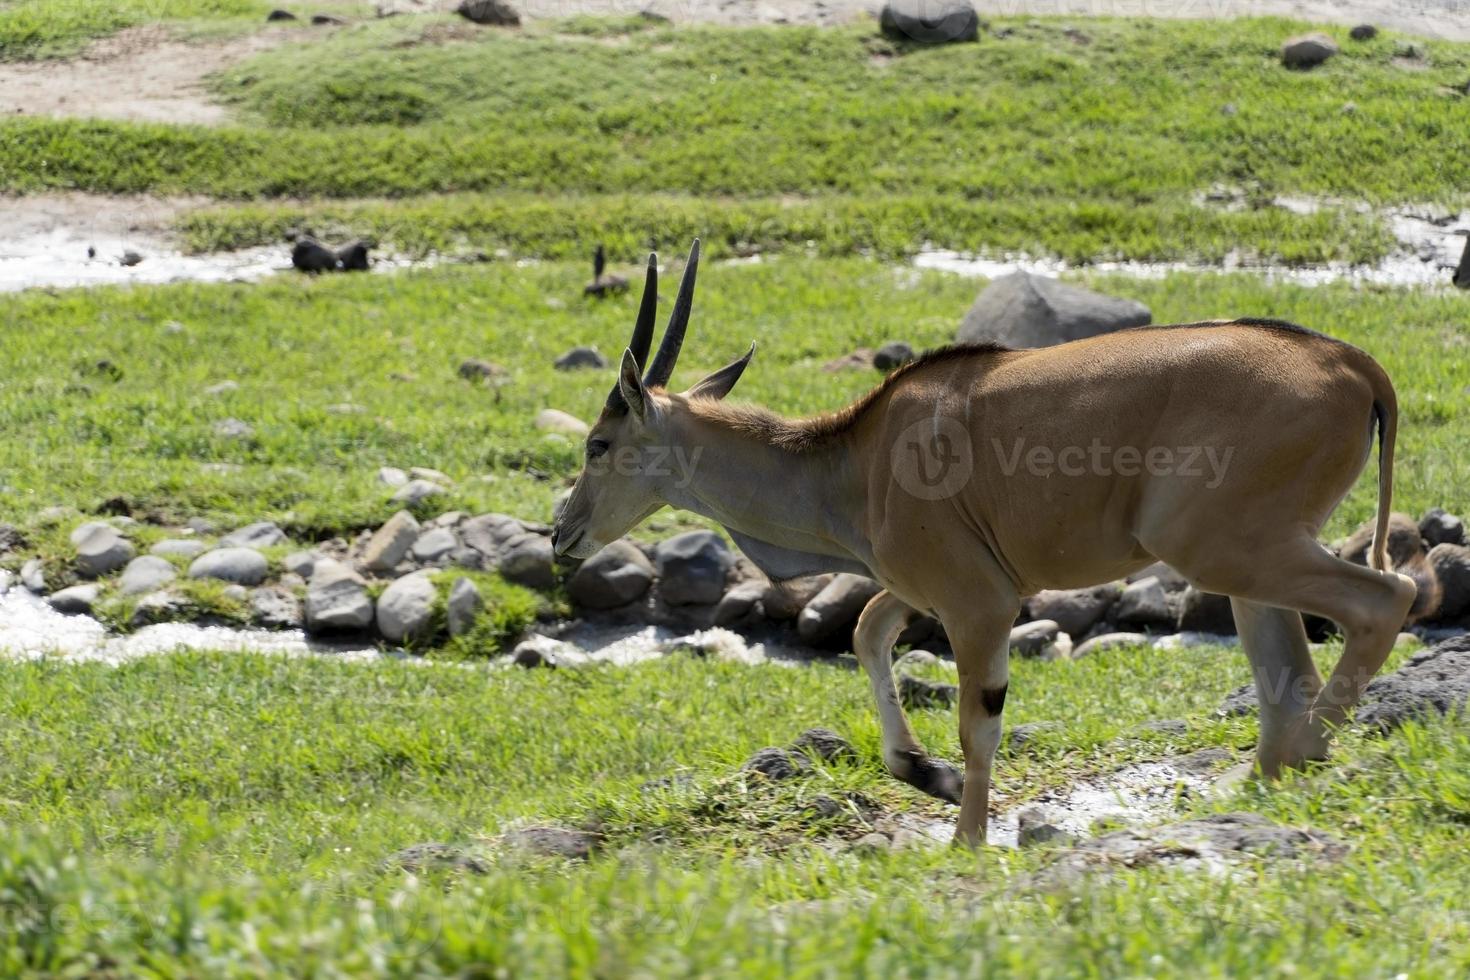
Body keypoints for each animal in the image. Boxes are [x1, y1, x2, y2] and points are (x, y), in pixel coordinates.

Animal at [549, 240, 1411, 846]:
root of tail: (1353, 365)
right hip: (1246, 565)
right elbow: (867, 634)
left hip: (1225, 549)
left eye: (598, 442)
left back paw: (1310, 753)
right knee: (1288, 673)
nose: (560, 532)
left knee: (1385, 599)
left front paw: (965, 835)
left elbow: (976, 722)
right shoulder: (927, 590)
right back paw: (1264, 783)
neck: (854, 457)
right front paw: (919, 771)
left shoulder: (979, 605)